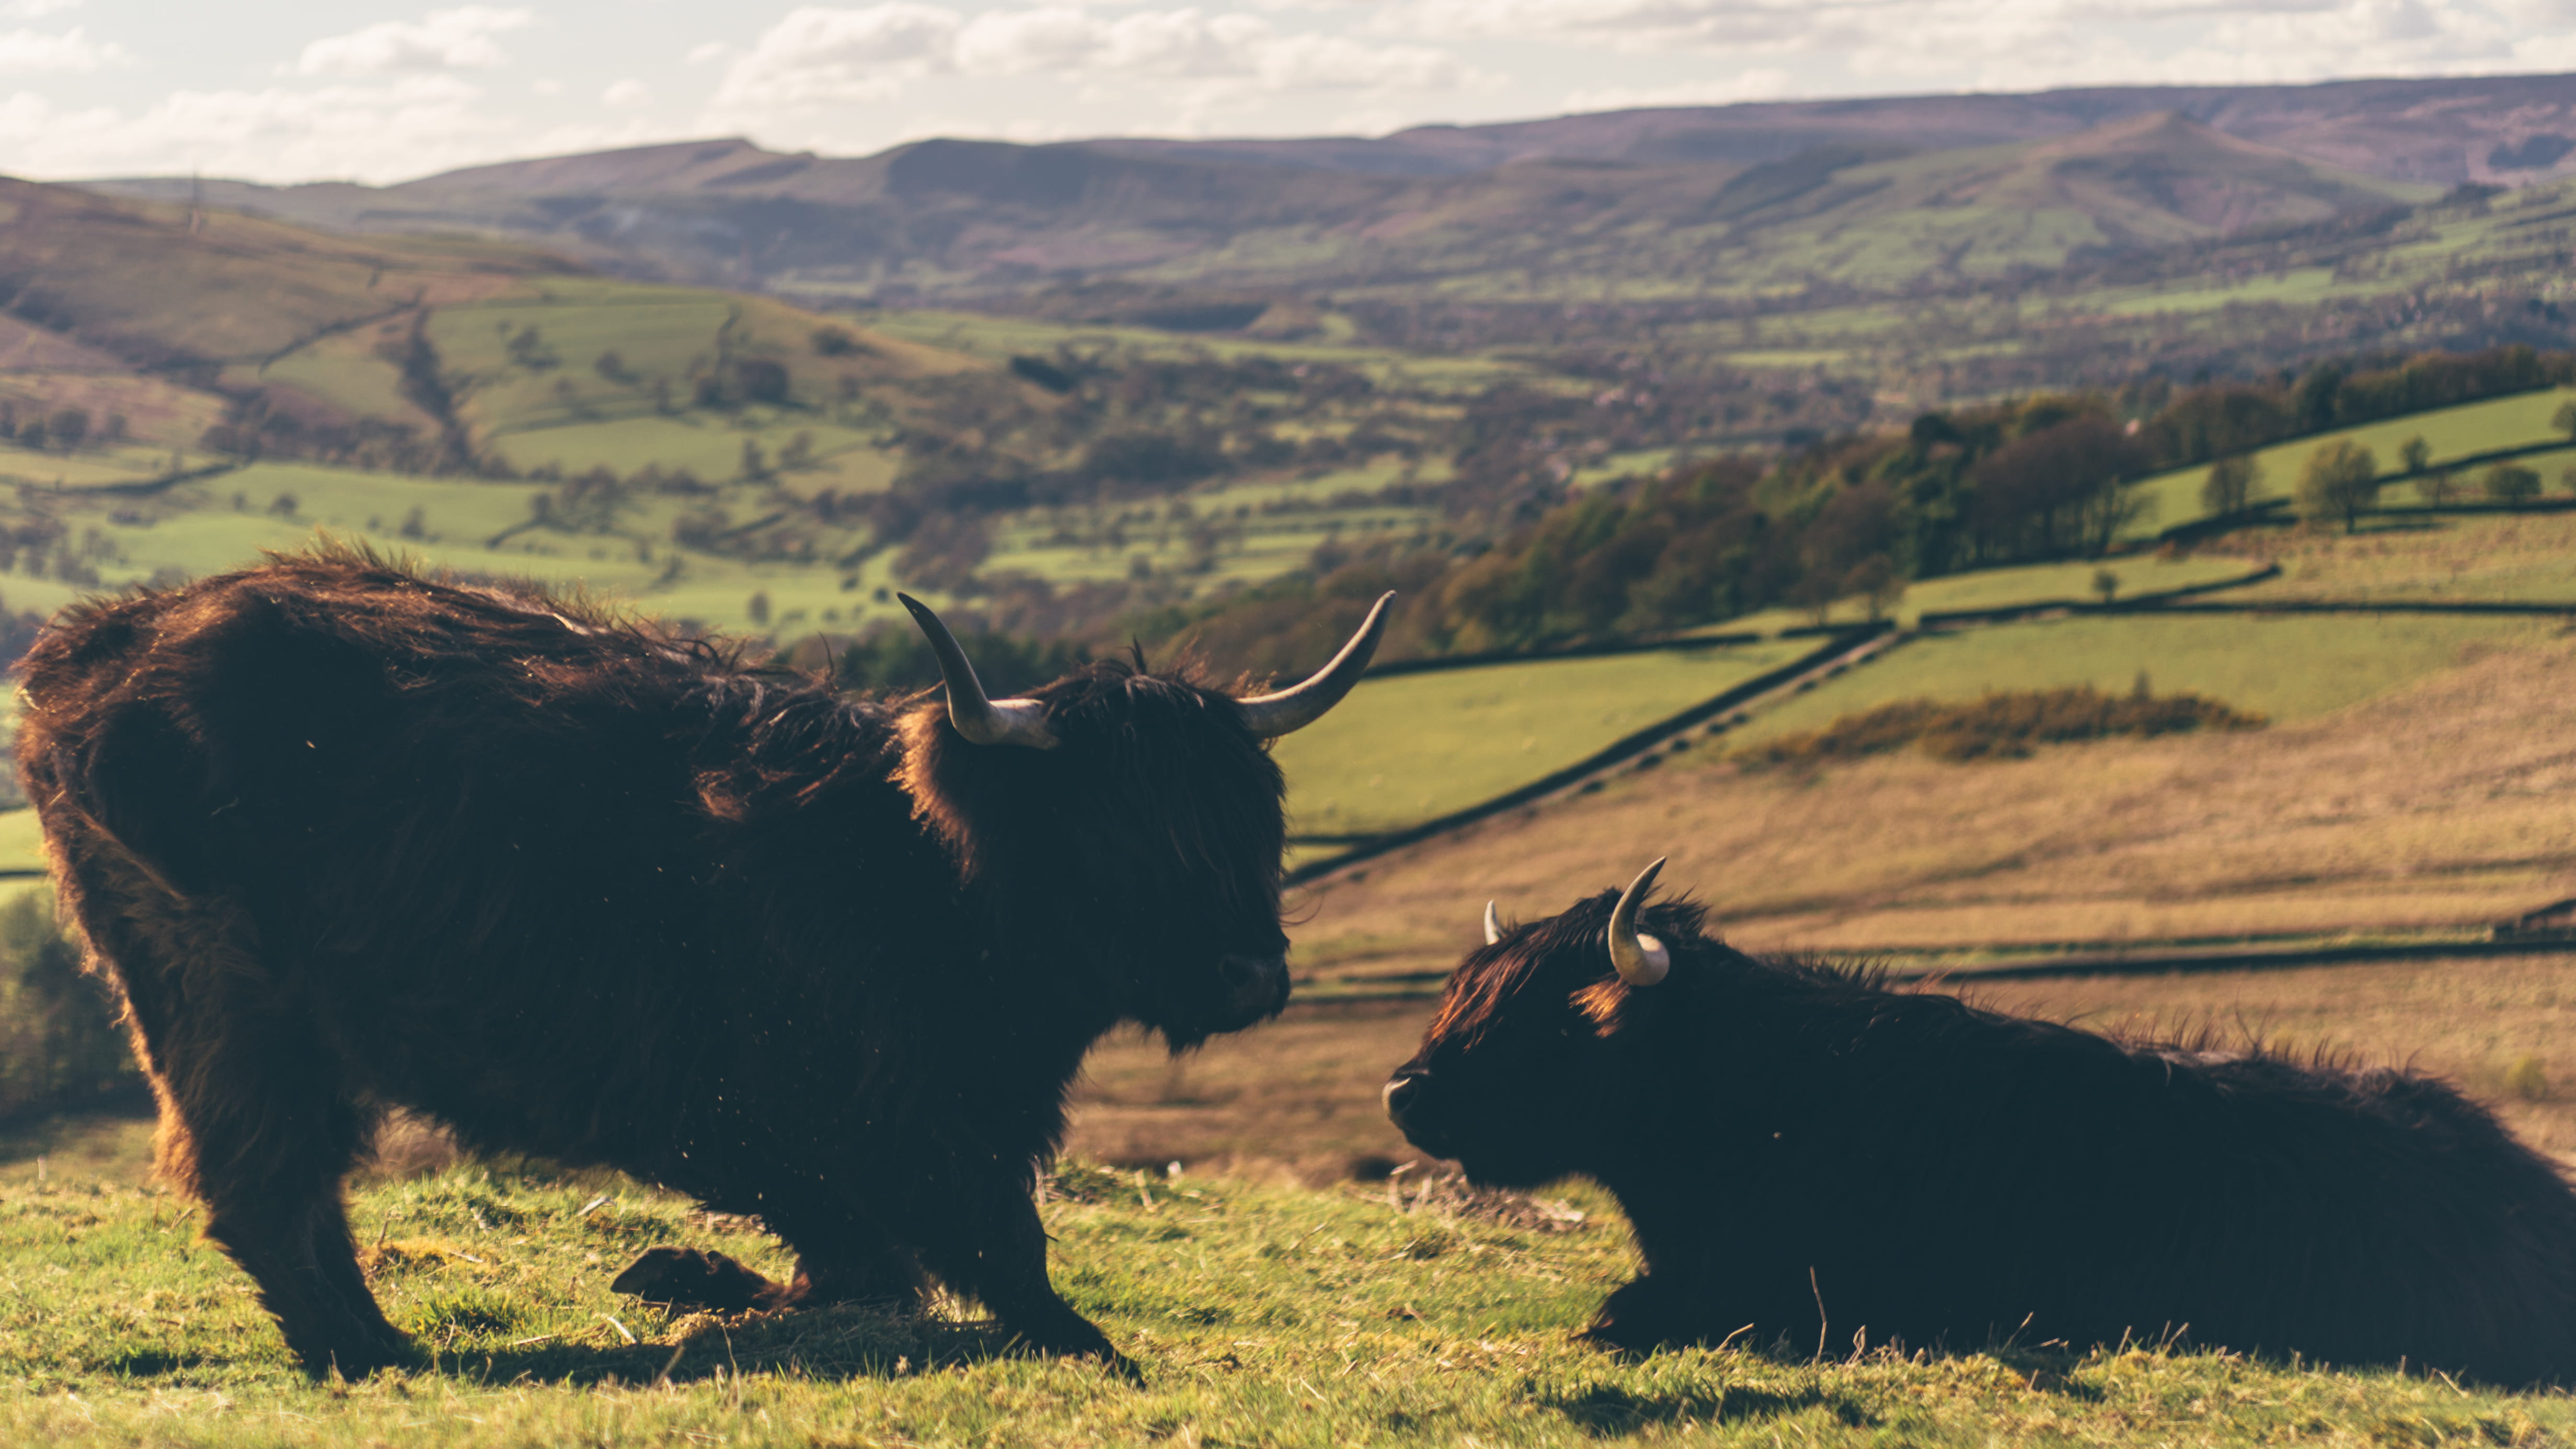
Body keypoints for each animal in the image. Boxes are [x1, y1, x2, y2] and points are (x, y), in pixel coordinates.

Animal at [16, 546, 1391, 1379]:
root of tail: (90, 647)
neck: (923, 888)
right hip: (228, 996)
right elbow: (1001, 1264)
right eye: (1117, 831)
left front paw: (690, 1275)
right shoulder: (883, 1125)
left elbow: (883, 1267)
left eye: (1248, 819)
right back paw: (374, 1349)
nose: (1251, 975)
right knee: (266, 1176)